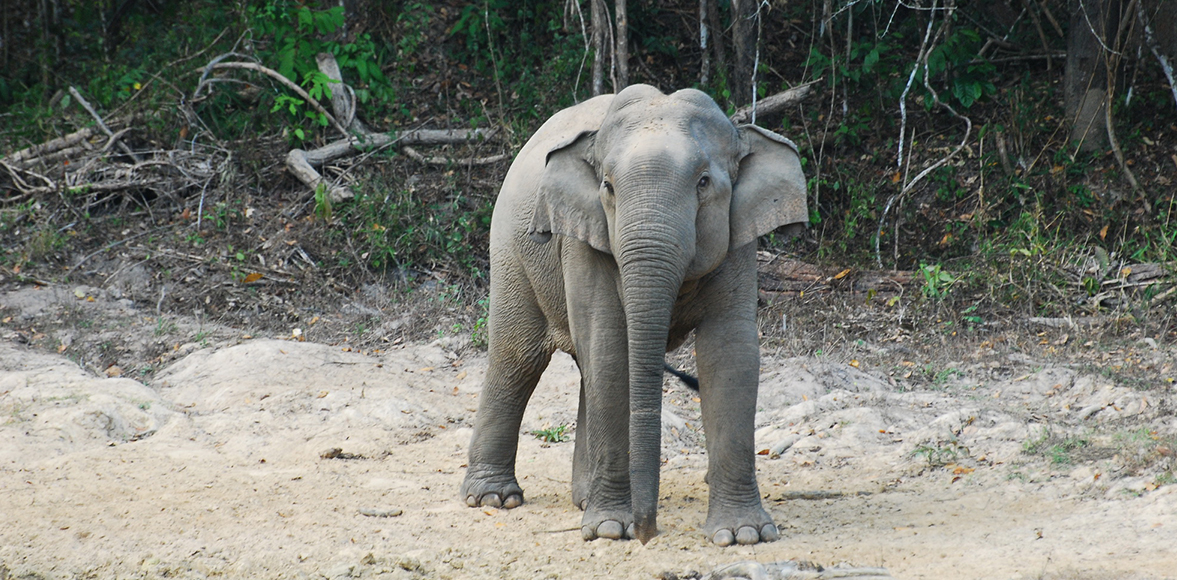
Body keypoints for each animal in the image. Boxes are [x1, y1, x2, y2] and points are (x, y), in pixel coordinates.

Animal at [459, 83, 809, 545]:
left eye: (703, 183)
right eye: (607, 186)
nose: (648, 533)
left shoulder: (738, 240)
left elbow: (729, 353)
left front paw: (742, 535)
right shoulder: (583, 238)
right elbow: (609, 345)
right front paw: (610, 530)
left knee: (580, 368)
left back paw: (582, 499)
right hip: (510, 251)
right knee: (517, 358)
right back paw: (494, 499)